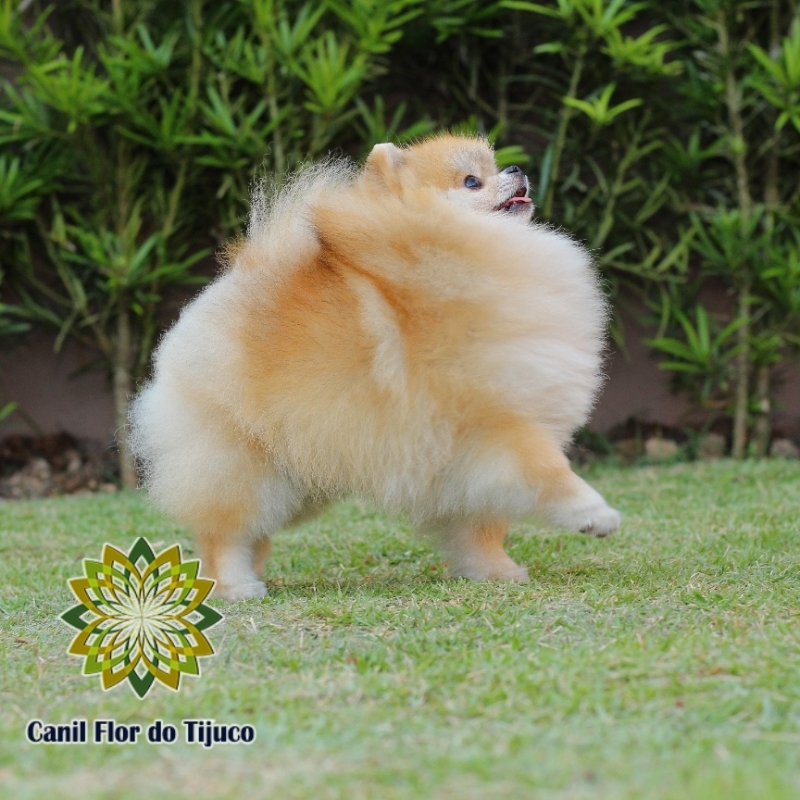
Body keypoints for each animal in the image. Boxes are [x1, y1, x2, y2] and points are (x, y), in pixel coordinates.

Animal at [130, 134, 620, 596]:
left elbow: (481, 526)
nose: (517, 170)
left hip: (298, 476)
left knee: (251, 531)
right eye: (471, 181)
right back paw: (235, 585)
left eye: (495, 166)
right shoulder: (493, 421)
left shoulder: (468, 459)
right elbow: (549, 470)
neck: (454, 245)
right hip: (243, 465)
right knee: (224, 531)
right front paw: (595, 514)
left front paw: (493, 571)